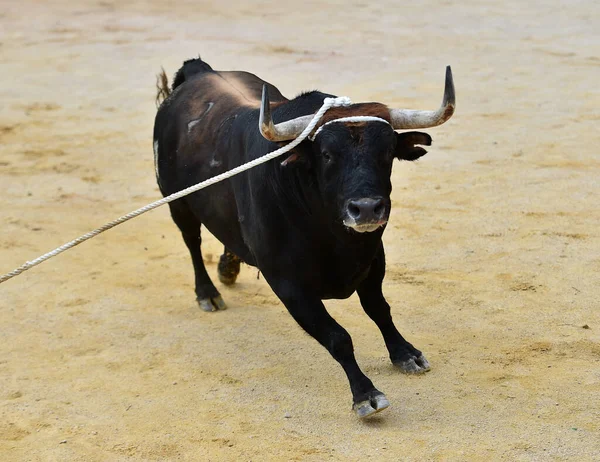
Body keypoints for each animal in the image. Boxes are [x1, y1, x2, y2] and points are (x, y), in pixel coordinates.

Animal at [154, 57, 454, 418]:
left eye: (387, 152)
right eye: (326, 154)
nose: (367, 208)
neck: (332, 236)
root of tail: (197, 72)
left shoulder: (372, 258)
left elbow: (379, 308)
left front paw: (405, 353)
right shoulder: (288, 284)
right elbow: (337, 337)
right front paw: (365, 394)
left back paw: (228, 268)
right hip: (178, 202)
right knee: (192, 242)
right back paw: (208, 294)